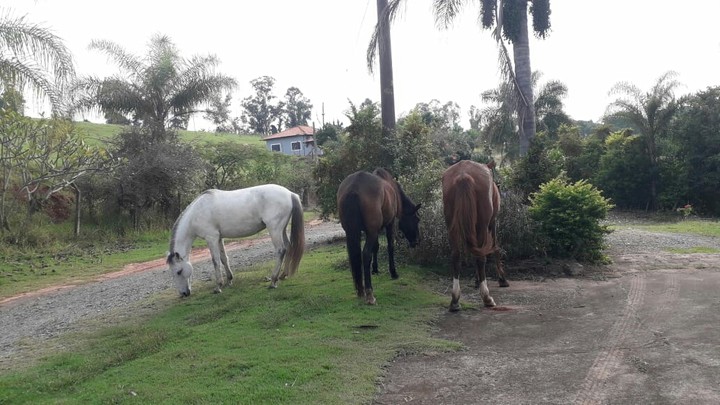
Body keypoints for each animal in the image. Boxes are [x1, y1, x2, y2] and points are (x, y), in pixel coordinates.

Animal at [166, 184, 305, 297]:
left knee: (281, 250)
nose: (184, 293)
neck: (197, 213)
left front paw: (218, 286)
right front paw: (229, 280)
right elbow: (224, 259)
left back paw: (273, 280)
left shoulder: (211, 238)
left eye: (179, 271)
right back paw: (283, 275)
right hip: (282, 229)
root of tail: (290, 194)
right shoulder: (219, 238)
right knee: (289, 247)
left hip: (274, 229)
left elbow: (215, 261)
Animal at [337, 168, 421, 305]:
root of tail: (354, 187)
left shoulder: (373, 230)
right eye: (417, 219)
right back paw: (369, 293)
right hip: (371, 232)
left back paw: (361, 290)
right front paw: (393, 272)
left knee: (356, 255)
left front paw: (375, 269)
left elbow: (375, 247)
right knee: (366, 254)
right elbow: (390, 246)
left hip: (352, 232)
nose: (417, 241)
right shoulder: (389, 224)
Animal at [442, 160, 509, 312]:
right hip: (482, 225)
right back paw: (487, 297)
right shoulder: (492, 223)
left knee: (456, 255)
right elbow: (495, 247)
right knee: (480, 256)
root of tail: (463, 175)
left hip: (452, 225)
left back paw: (455, 300)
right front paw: (502, 279)